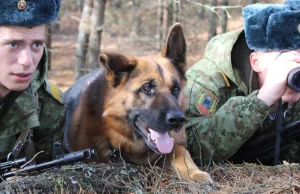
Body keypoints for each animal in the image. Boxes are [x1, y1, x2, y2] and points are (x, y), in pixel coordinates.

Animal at [64, 23, 212, 183]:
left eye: (176, 89)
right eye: (147, 88)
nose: (178, 120)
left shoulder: (172, 146)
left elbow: (181, 151)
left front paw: (195, 172)